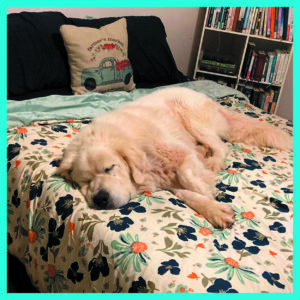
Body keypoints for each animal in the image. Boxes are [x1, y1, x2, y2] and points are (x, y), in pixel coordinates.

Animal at [55, 88, 290, 229]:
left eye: (110, 168)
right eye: (85, 181)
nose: (100, 199)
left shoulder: (176, 152)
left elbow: (188, 176)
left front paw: (207, 188)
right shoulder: (162, 177)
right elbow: (185, 193)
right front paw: (213, 209)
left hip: (191, 118)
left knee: (220, 146)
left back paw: (211, 161)